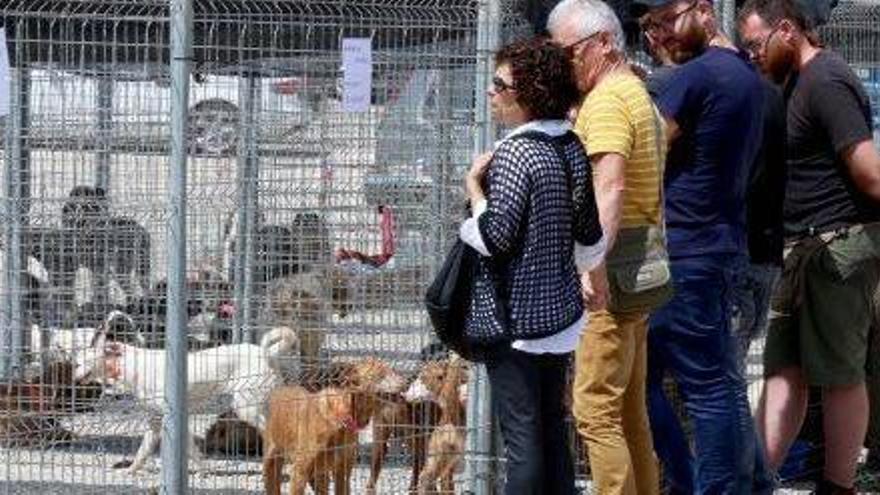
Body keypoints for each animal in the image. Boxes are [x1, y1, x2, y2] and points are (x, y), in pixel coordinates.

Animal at [73, 310, 300, 476]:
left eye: (78, 363)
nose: (73, 379)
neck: (132, 365)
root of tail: (267, 353)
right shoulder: (155, 423)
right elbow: (143, 452)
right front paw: (130, 470)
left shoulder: (173, 420)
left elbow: (191, 451)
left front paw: (202, 473)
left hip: (246, 408)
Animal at [262, 360, 408, 495]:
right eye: (381, 373)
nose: (407, 382)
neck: (340, 417)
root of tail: (280, 388)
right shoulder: (299, 474)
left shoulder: (342, 473)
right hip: (271, 463)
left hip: (321, 476)